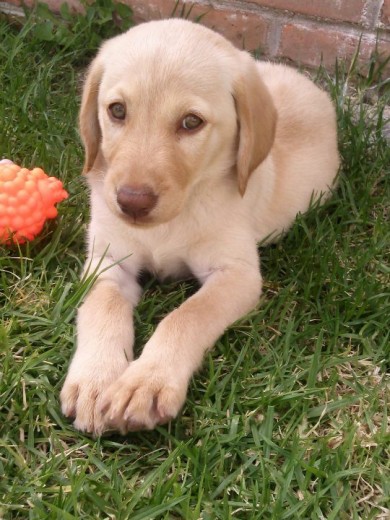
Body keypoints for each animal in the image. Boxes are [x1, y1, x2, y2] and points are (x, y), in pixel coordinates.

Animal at [60, 18, 338, 432]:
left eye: (191, 122)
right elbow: (102, 306)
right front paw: (95, 379)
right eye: (117, 111)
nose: (131, 202)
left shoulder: (236, 274)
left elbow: (188, 316)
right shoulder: (107, 262)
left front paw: (146, 382)